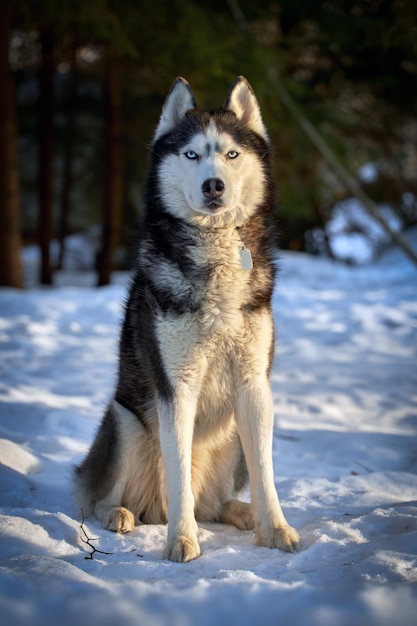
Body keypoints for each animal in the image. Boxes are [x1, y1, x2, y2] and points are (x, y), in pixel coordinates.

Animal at [75, 75, 300, 560]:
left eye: (231, 154)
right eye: (191, 154)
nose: (214, 185)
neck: (215, 252)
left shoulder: (255, 386)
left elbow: (267, 475)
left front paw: (276, 529)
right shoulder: (175, 387)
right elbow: (178, 475)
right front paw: (181, 539)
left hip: (233, 437)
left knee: (217, 502)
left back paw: (240, 513)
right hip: (125, 421)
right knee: (102, 498)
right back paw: (120, 515)